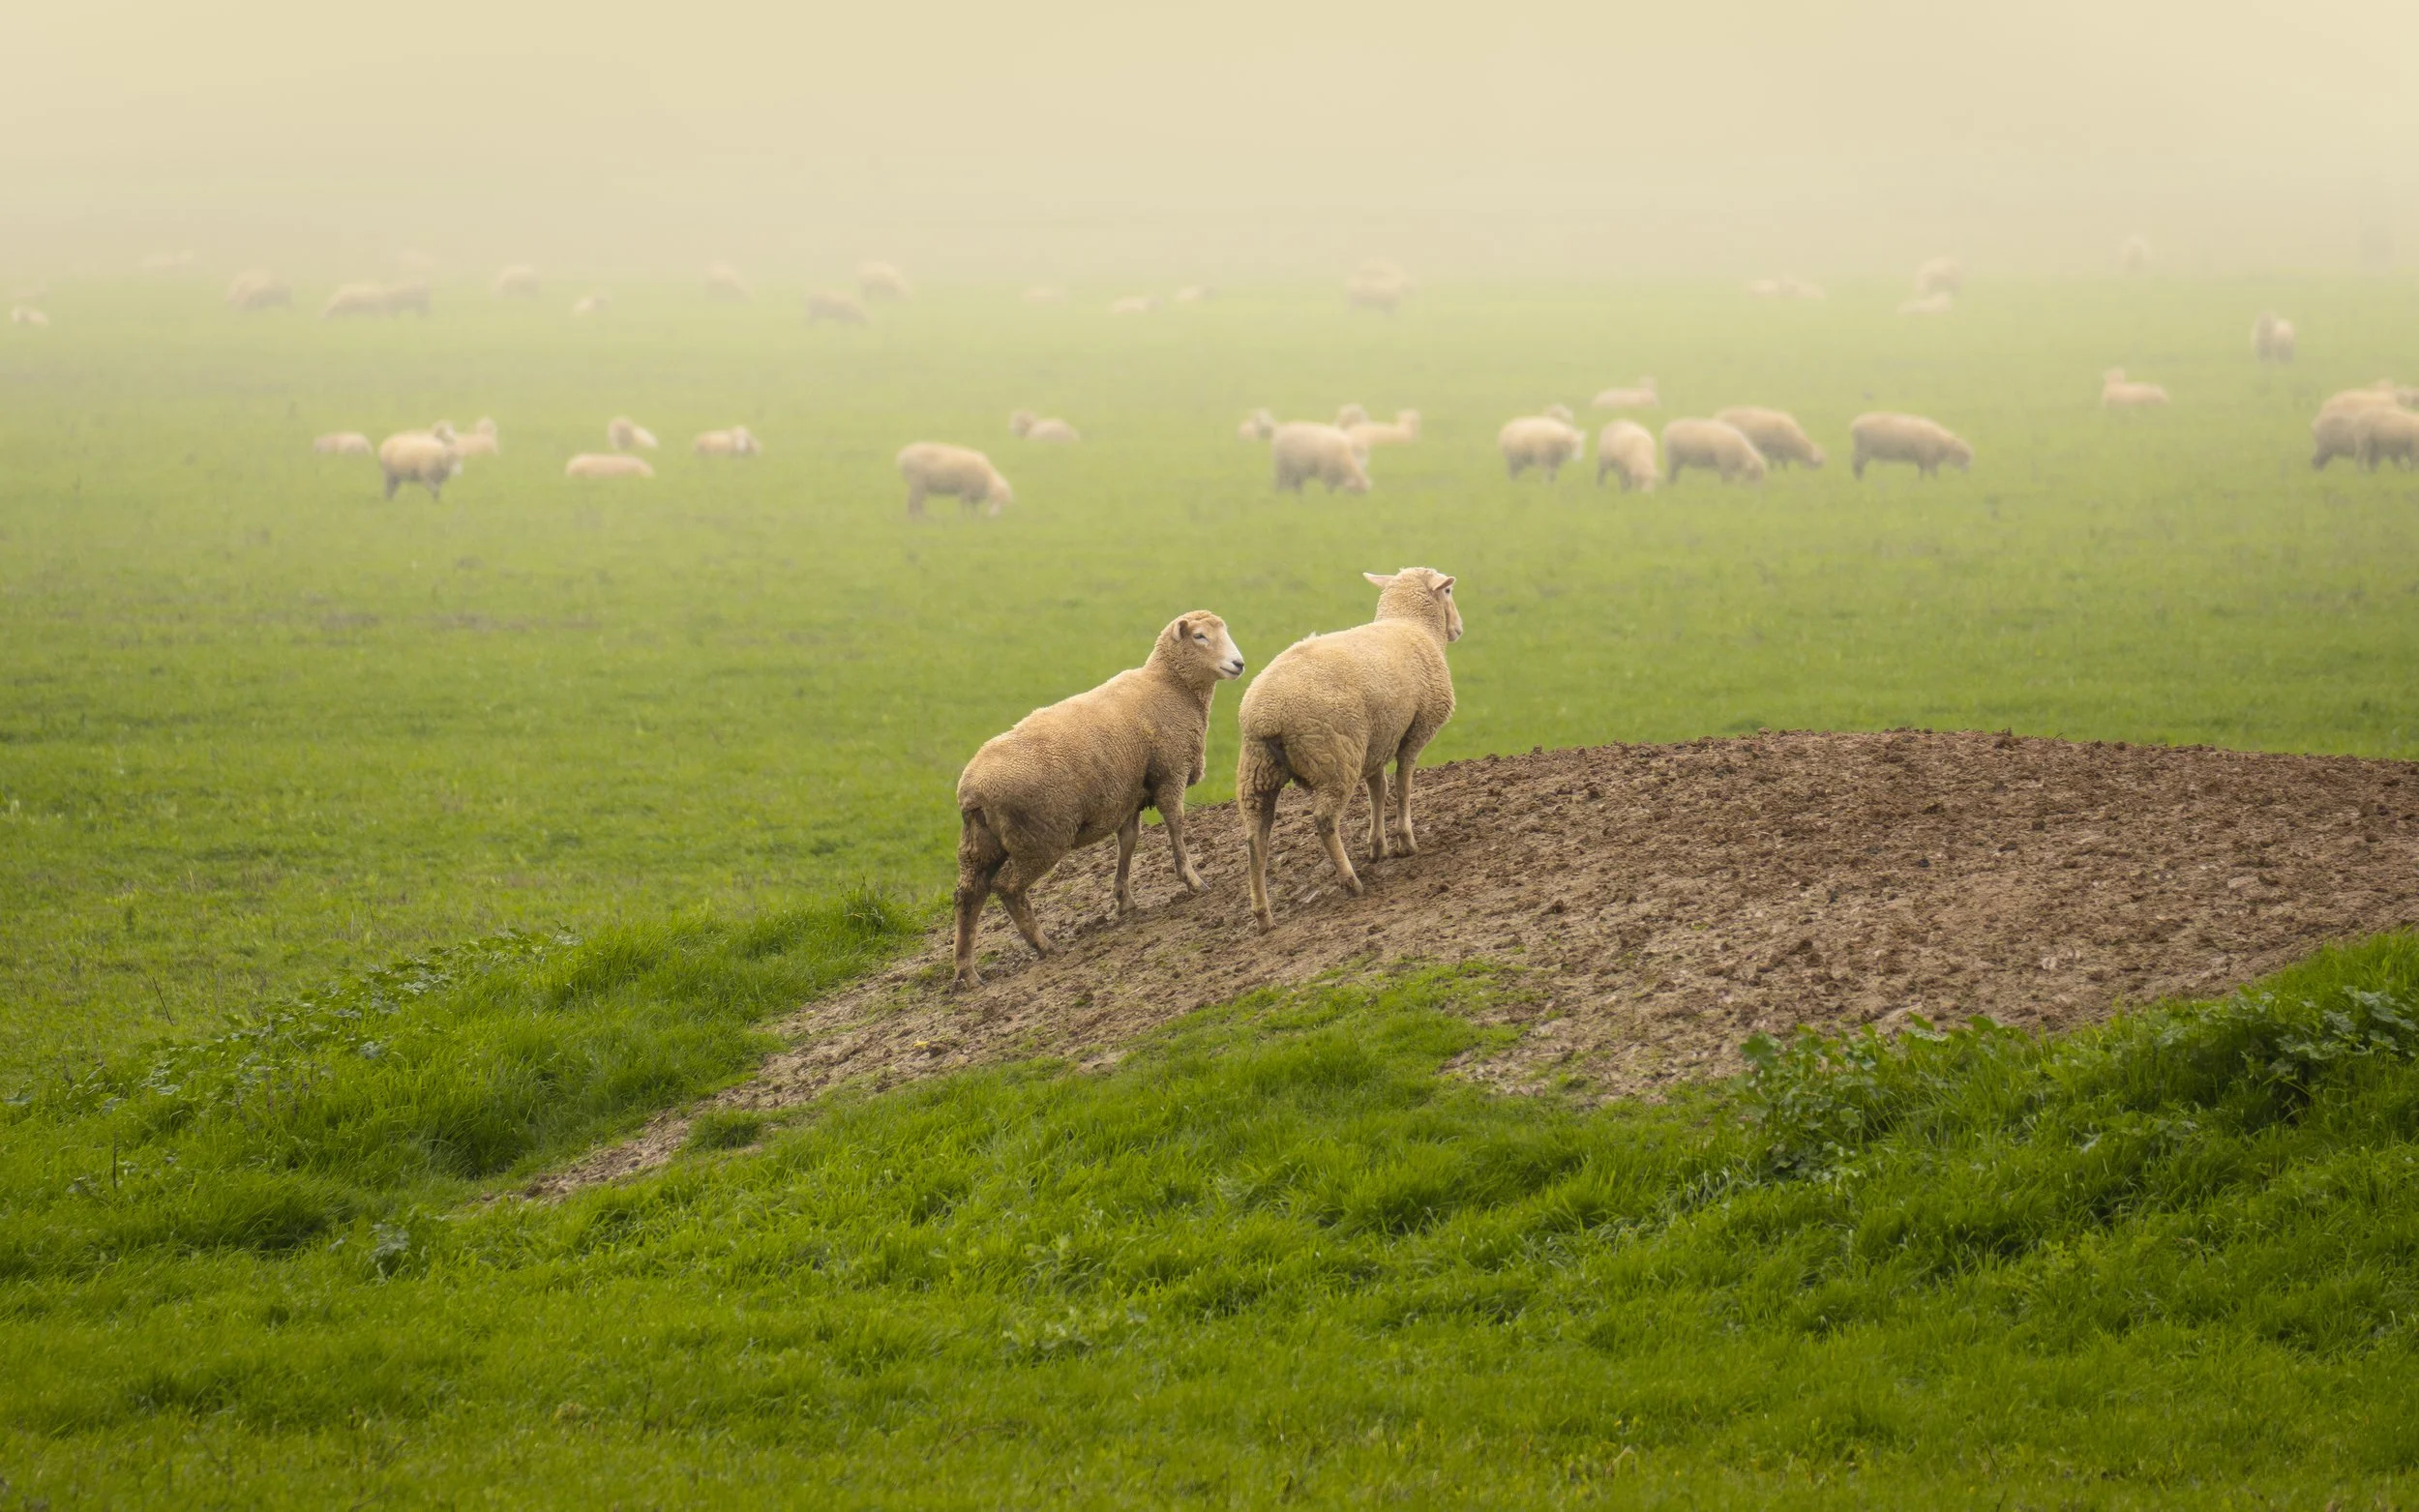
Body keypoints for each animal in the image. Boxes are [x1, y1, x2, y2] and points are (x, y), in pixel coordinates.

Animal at [951, 611, 1244, 984]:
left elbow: (1129, 841)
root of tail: (972, 789)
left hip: (979, 845)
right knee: (1008, 889)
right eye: (1200, 636)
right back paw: (1043, 945)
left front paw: (1124, 900)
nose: (1238, 664)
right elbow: (1176, 823)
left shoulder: (1130, 793)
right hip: (1040, 837)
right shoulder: (1170, 772)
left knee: (968, 896)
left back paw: (967, 970)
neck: (1169, 685)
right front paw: (1191, 880)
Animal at [1236, 568, 1460, 928]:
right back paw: (1350, 881)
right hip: (1335, 758)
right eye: (1449, 591)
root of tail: (1267, 715)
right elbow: (1404, 783)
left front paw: (1378, 846)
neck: (1411, 623)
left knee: (1256, 836)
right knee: (1325, 821)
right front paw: (1405, 842)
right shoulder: (1416, 730)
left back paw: (1263, 915)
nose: (1458, 629)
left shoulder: (1376, 744)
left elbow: (1379, 790)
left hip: (1257, 770)